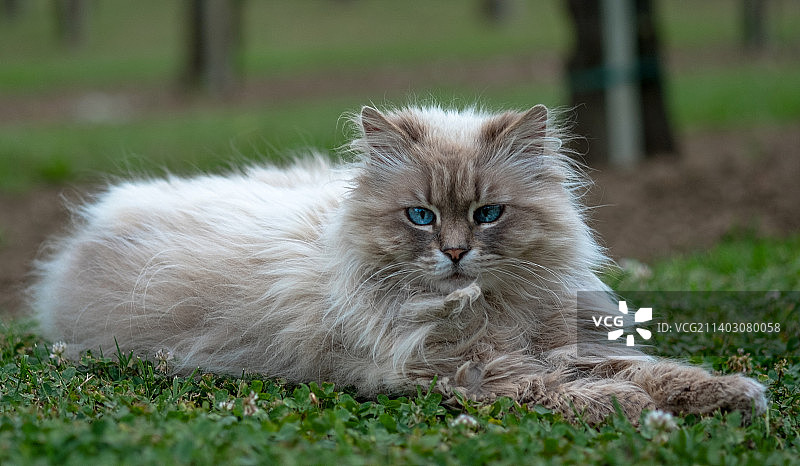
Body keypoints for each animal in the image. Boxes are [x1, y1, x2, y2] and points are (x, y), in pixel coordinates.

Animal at [32, 104, 768, 424]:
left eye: (487, 214)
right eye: (420, 216)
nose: (455, 253)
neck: (489, 313)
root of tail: (94, 225)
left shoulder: (567, 345)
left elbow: (655, 371)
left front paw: (731, 394)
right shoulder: (463, 374)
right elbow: (559, 389)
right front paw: (630, 408)